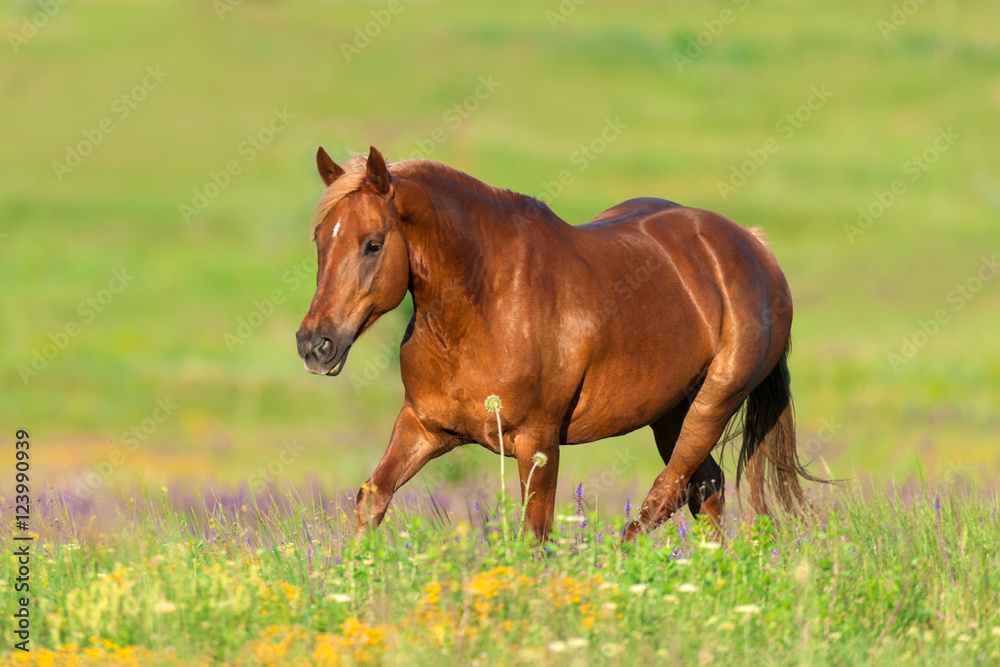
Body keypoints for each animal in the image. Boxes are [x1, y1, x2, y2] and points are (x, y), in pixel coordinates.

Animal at [292, 146, 816, 544]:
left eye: (373, 244)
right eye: (319, 240)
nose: (315, 344)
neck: (485, 306)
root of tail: (753, 245)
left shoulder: (537, 441)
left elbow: (534, 536)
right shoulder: (424, 426)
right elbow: (373, 497)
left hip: (714, 403)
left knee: (664, 496)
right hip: (670, 413)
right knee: (705, 488)